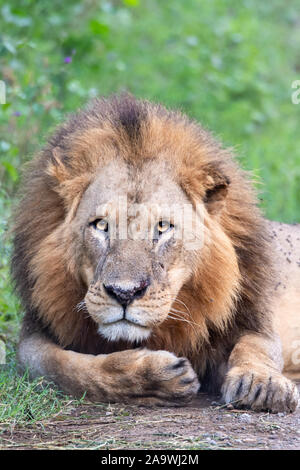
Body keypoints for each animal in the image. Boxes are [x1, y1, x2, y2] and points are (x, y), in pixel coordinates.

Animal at [11, 94, 300, 412]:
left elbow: (257, 347)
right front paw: (152, 378)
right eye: (101, 225)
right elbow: (64, 367)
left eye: (162, 227)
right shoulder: (34, 338)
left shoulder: (252, 318)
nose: (124, 293)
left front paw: (262, 383)